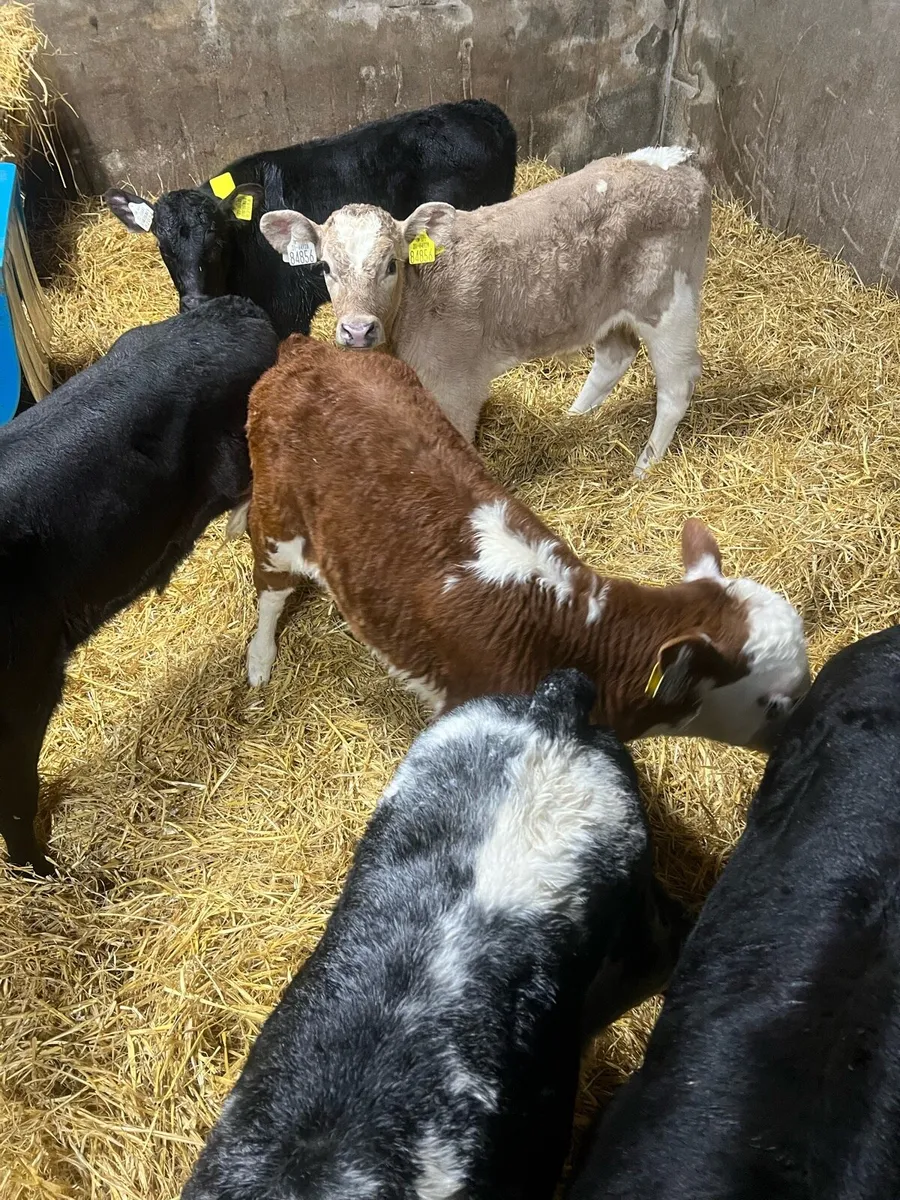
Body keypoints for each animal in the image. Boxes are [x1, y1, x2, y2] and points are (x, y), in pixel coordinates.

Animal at [238, 336, 809, 751]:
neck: (573, 633)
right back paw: (260, 660)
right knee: (269, 589)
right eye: (774, 703)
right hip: (277, 518)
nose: (797, 743)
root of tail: (307, 349)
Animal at [258, 146, 711, 475]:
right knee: (614, 357)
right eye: (324, 267)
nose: (357, 330)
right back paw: (574, 418)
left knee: (677, 383)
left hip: (670, 304)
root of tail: (678, 158)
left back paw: (644, 466)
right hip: (601, 305)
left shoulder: (457, 387)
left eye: (392, 265)